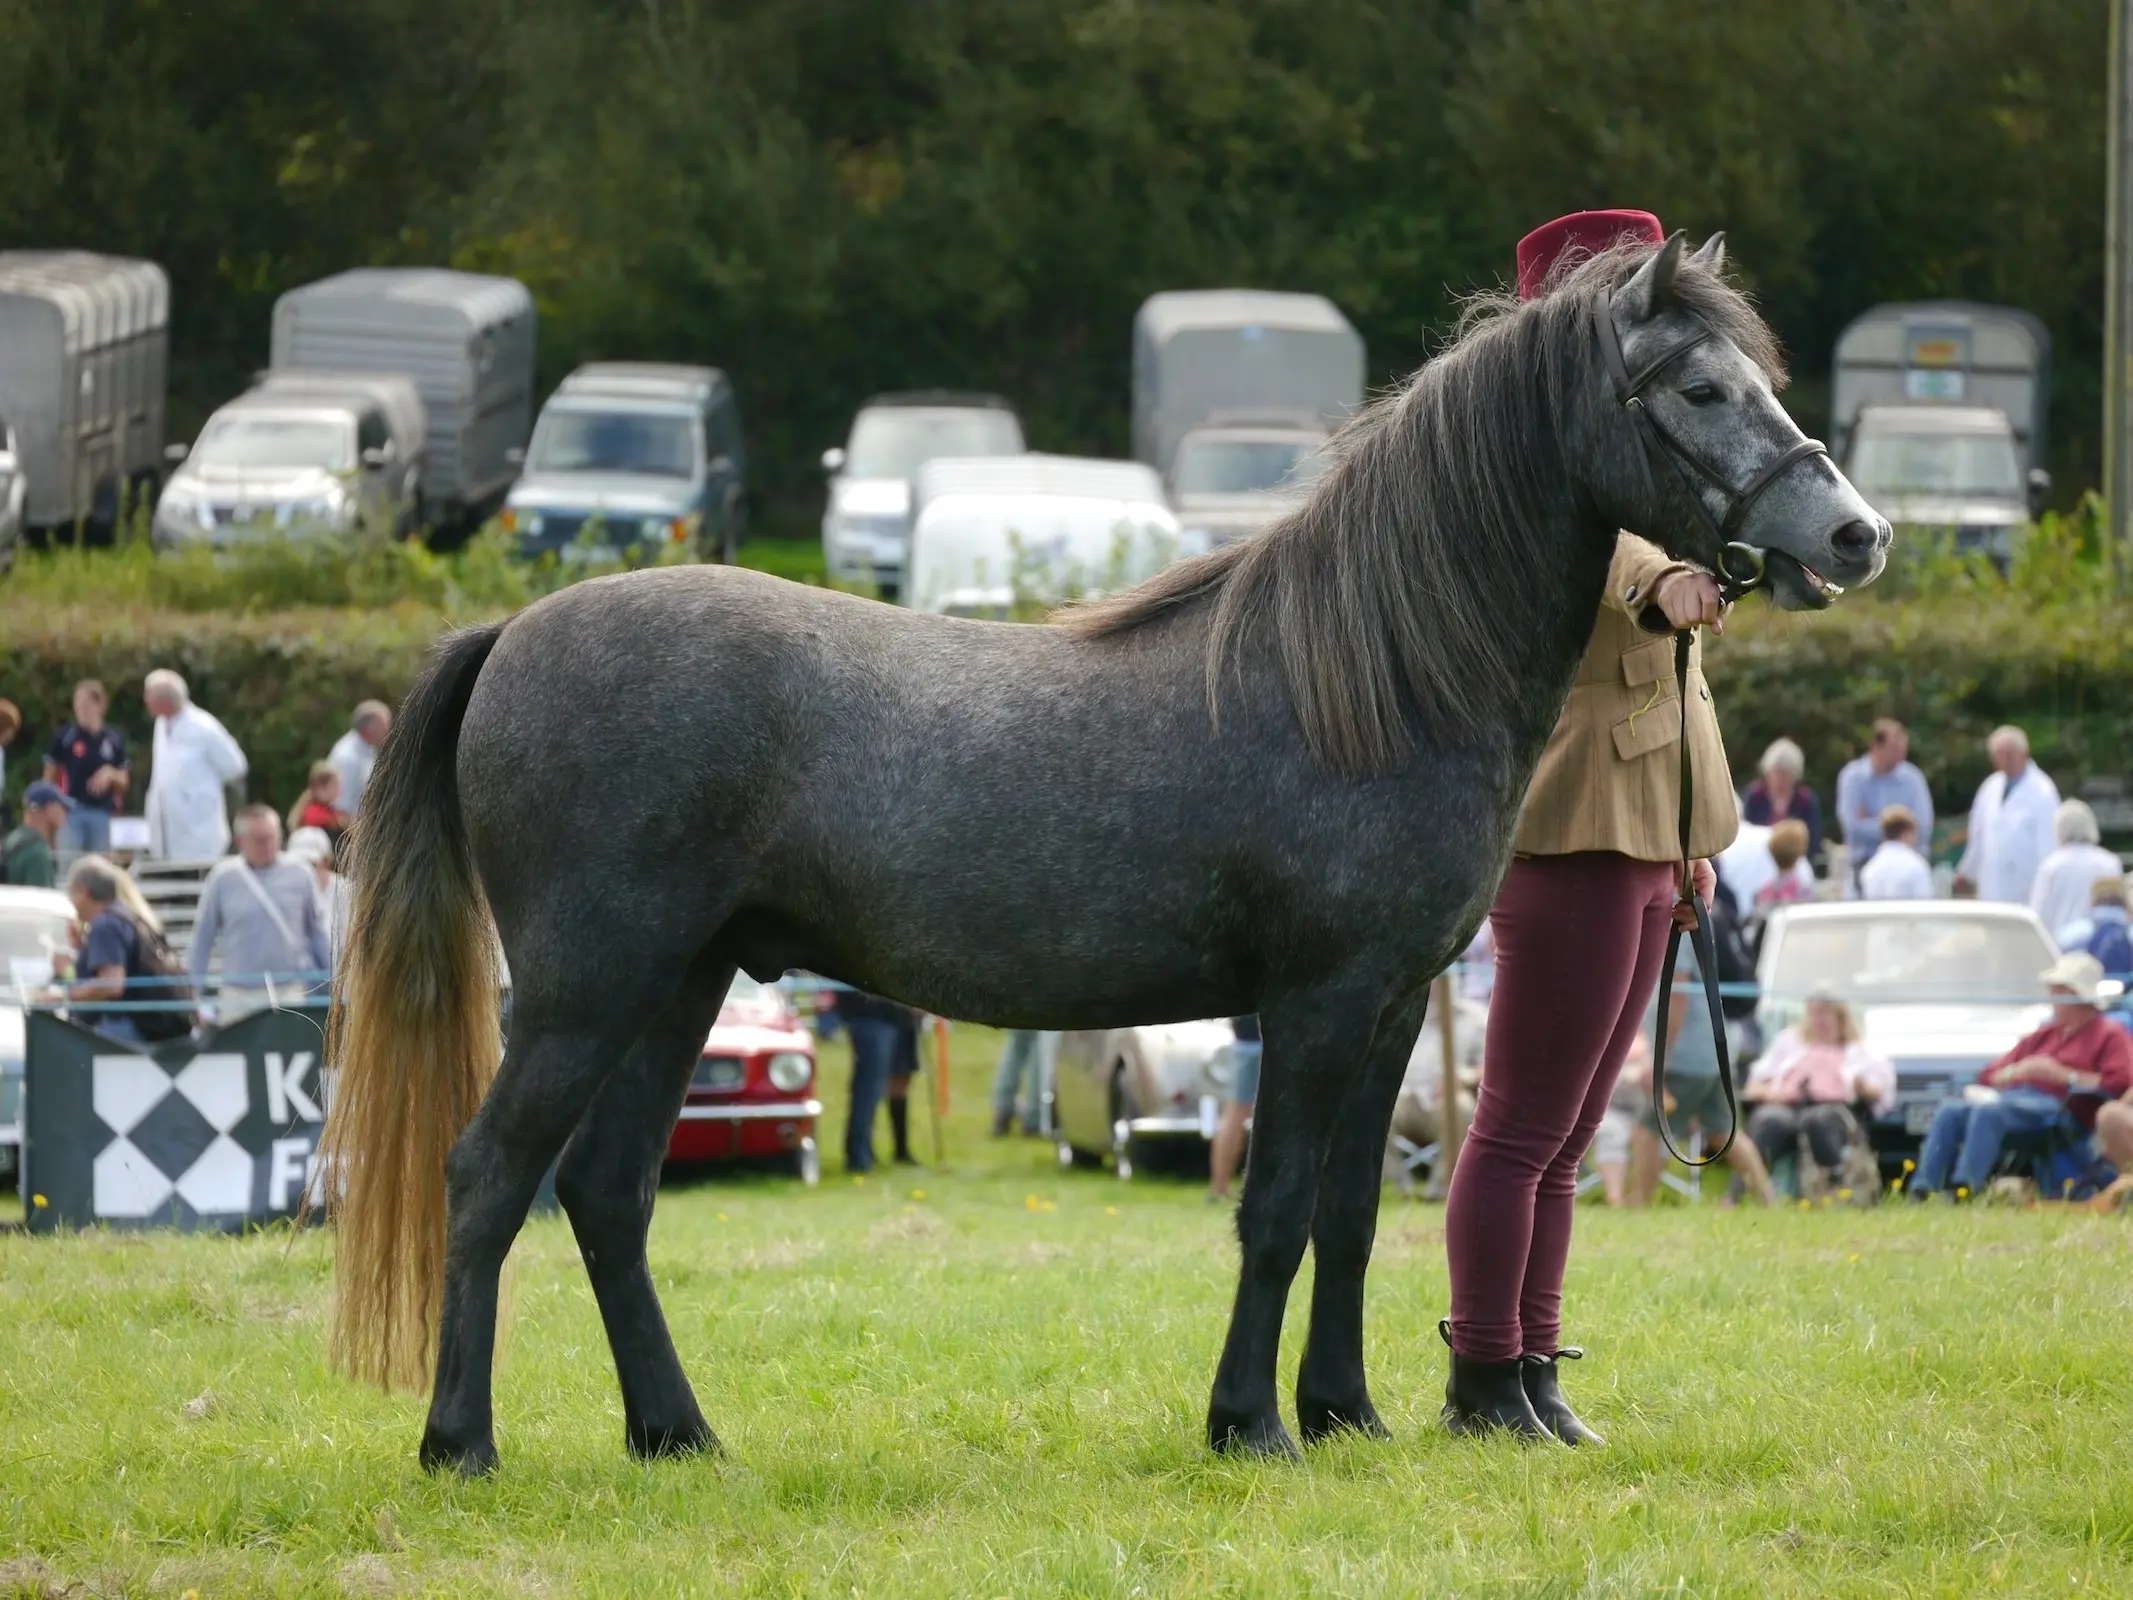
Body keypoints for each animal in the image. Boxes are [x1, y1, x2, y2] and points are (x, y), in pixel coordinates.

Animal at [315, 228, 1885, 1476]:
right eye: (1699, 389)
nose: (1856, 535)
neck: (1371, 675)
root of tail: (513, 632)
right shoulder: (1315, 1003)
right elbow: (1272, 1210)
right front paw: (1251, 1425)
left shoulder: (1389, 1009)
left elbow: (1352, 1214)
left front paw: (1347, 1413)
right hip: (588, 990)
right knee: (488, 1177)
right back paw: (461, 1445)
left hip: (679, 985)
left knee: (608, 1193)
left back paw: (678, 1433)